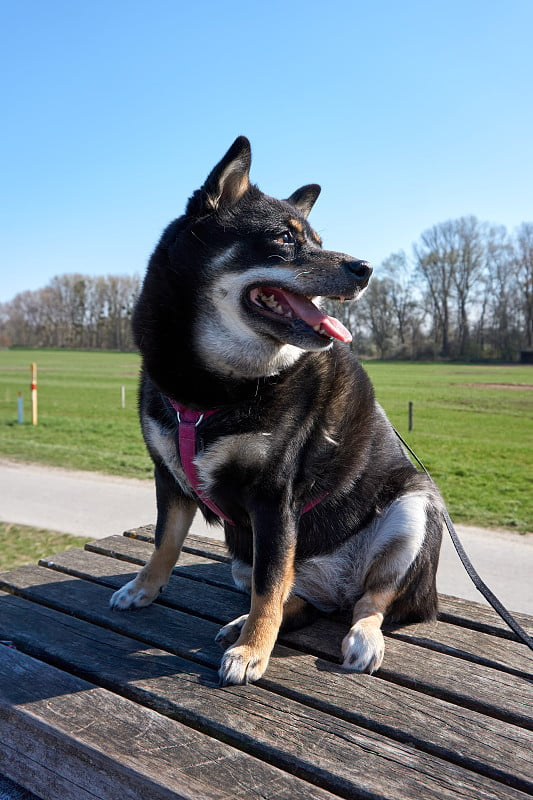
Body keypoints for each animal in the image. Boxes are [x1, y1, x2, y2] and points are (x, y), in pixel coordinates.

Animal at [110, 134, 442, 684]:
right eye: (285, 238)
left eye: (317, 238)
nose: (365, 269)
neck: (215, 389)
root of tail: (335, 589)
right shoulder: (169, 476)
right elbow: (165, 541)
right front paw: (144, 587)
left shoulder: (274, 498)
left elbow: (269, 585)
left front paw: (252, 651)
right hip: (241, 553)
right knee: (298, 596)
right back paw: (246, 620)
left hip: (415, 508)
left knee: (371, 600)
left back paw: (359, 636)